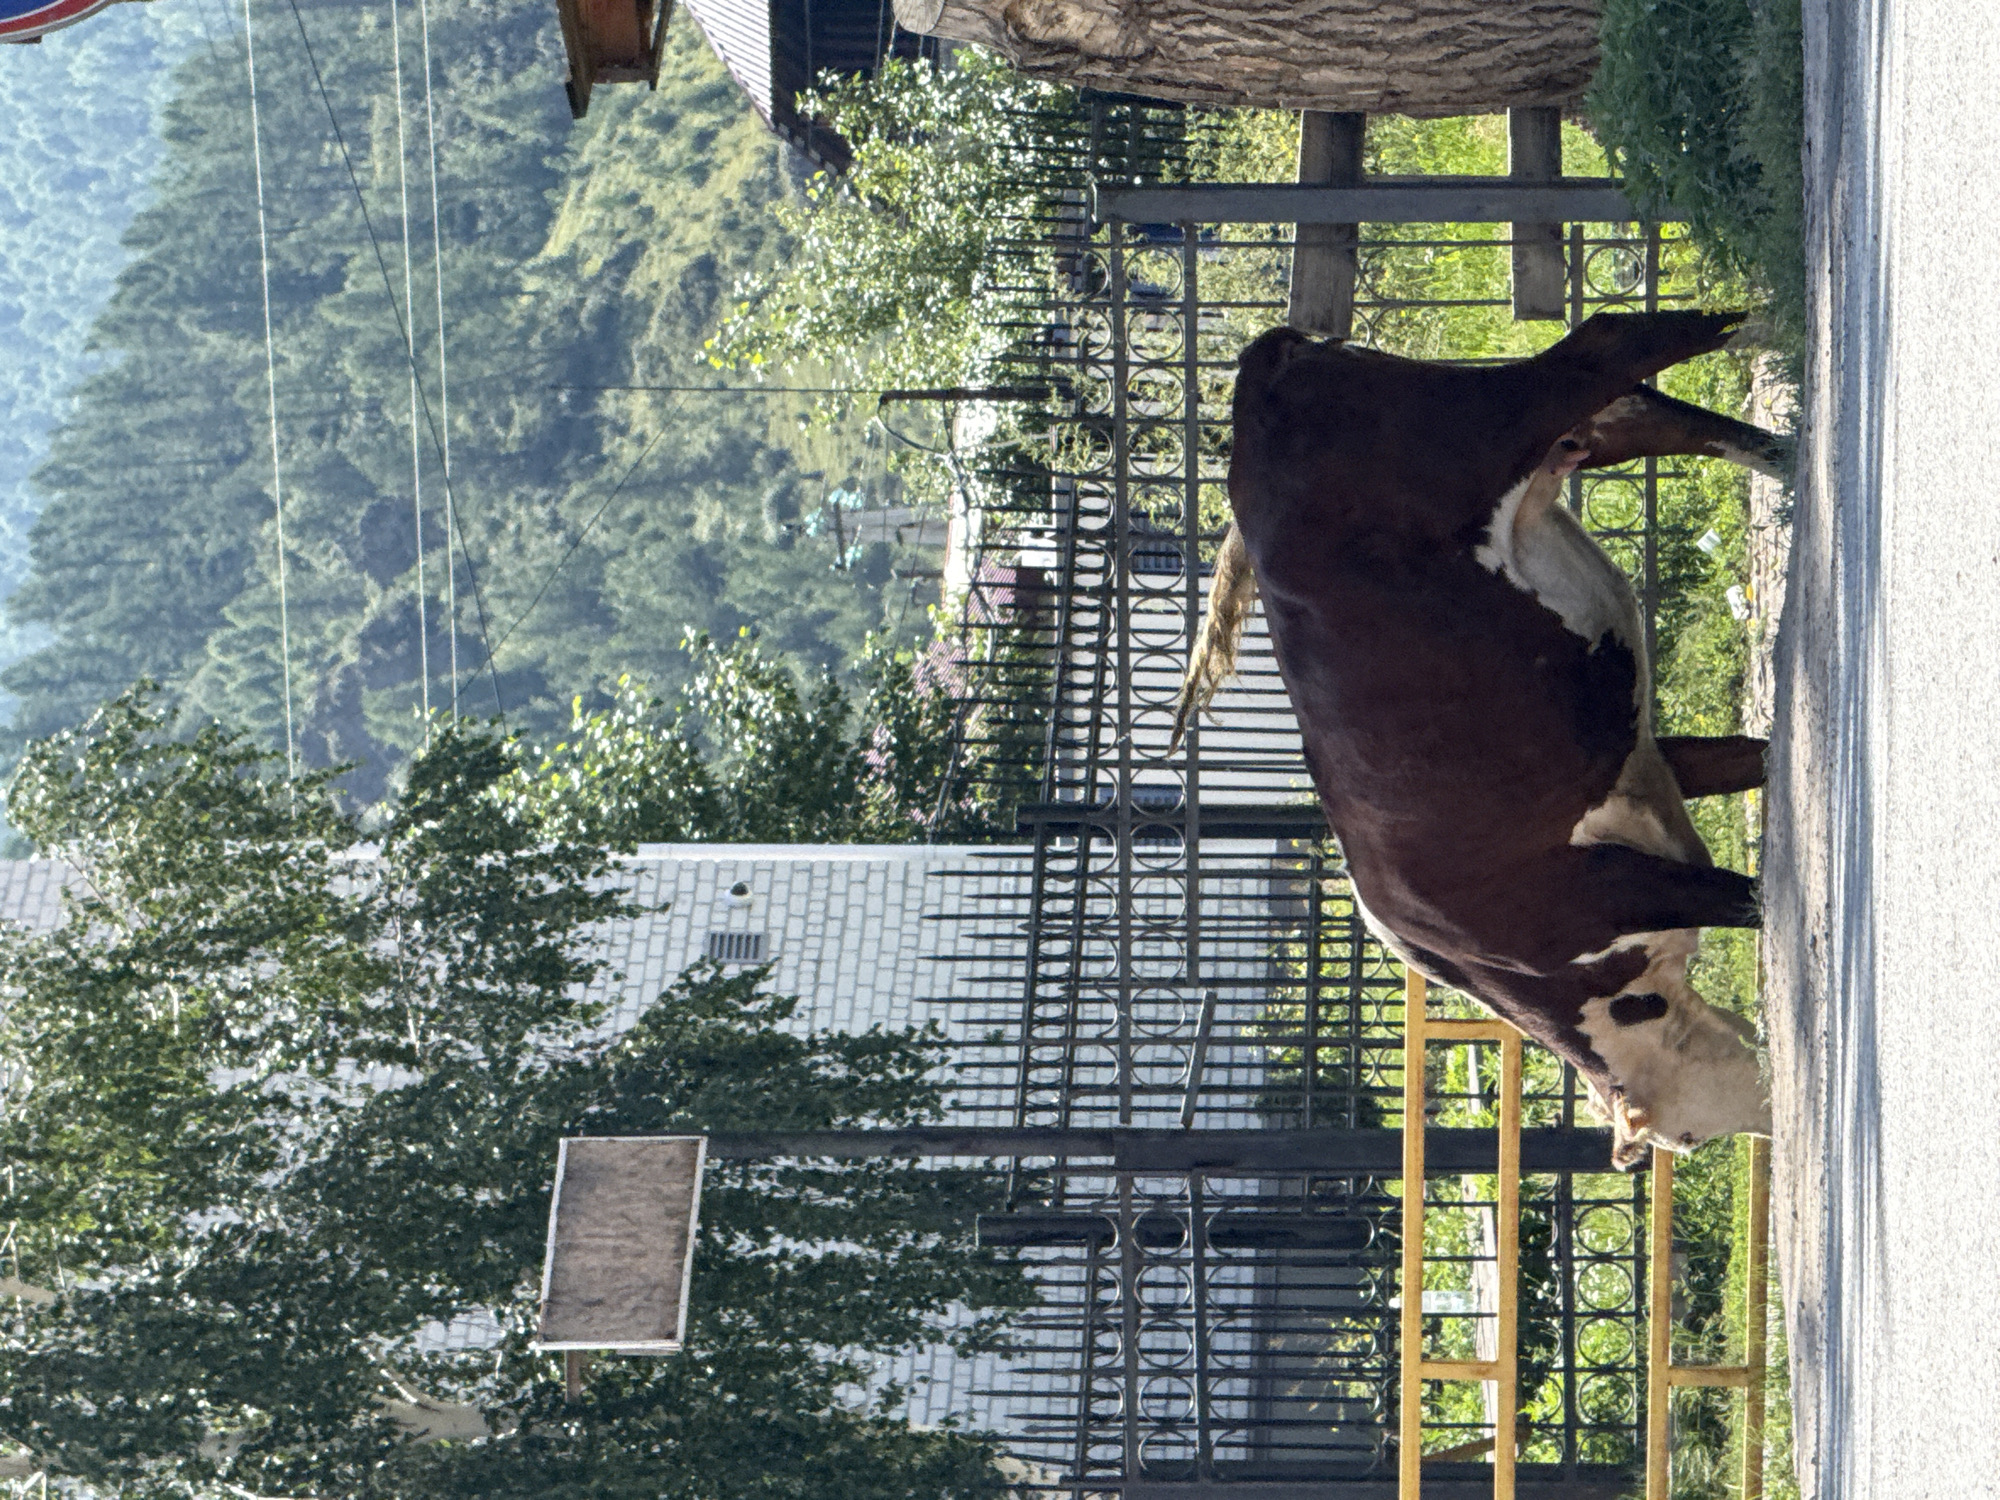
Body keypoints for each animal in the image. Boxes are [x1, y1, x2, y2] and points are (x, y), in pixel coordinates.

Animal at [1176, 311, 1785, 1168]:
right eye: (1692, 1139)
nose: (1771, 1121)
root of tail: (1261, 368)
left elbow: (1742, 894)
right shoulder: (1636, 778)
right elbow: (1747, 781)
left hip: (1488, 426)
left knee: (1608, 344)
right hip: (1554, 437)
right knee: (1641, 405)